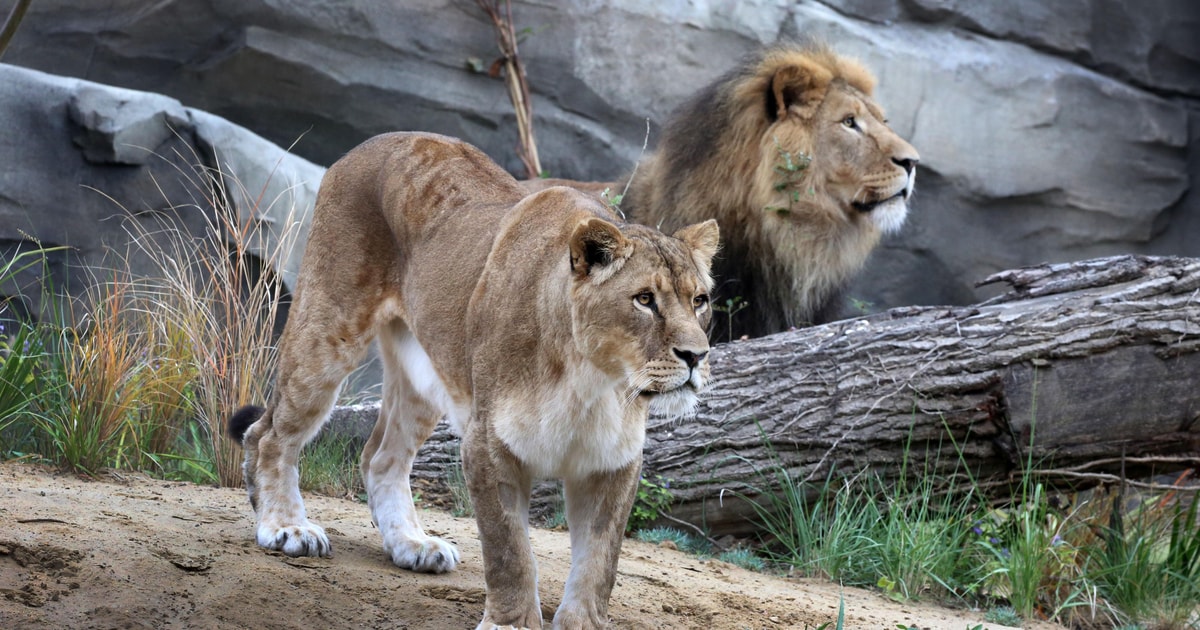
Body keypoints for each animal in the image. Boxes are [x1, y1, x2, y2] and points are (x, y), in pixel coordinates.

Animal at [225, 130, 715, 624]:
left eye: (700, 301)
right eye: (644, 299)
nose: (697, 355)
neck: (593, 383)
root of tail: (377, 140)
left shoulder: (612, 463)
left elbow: (598, 566)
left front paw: (580, 623)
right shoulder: (488, 445)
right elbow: (509, 552)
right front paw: (510, 624)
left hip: (424, 374)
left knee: (379, 456)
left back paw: (412, 544)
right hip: (328, 330)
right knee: (268, 433)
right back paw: (286, 527)